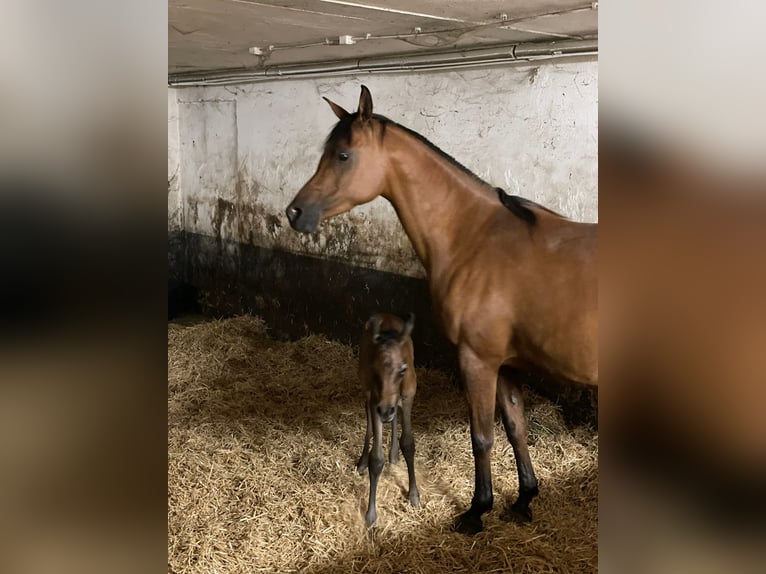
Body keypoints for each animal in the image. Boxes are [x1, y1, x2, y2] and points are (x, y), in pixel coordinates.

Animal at [358, 312, 420, 528]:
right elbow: (376, 459)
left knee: (394, 417)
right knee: (370, 421)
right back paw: (362, 461)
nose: (385, 410)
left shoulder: (408, 395)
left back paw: (393, 453)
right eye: (375, 369)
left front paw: (414, 495)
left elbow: (408, 443)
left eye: (402, 369)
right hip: (367, 393)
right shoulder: (375, 400)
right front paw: (370, 515)